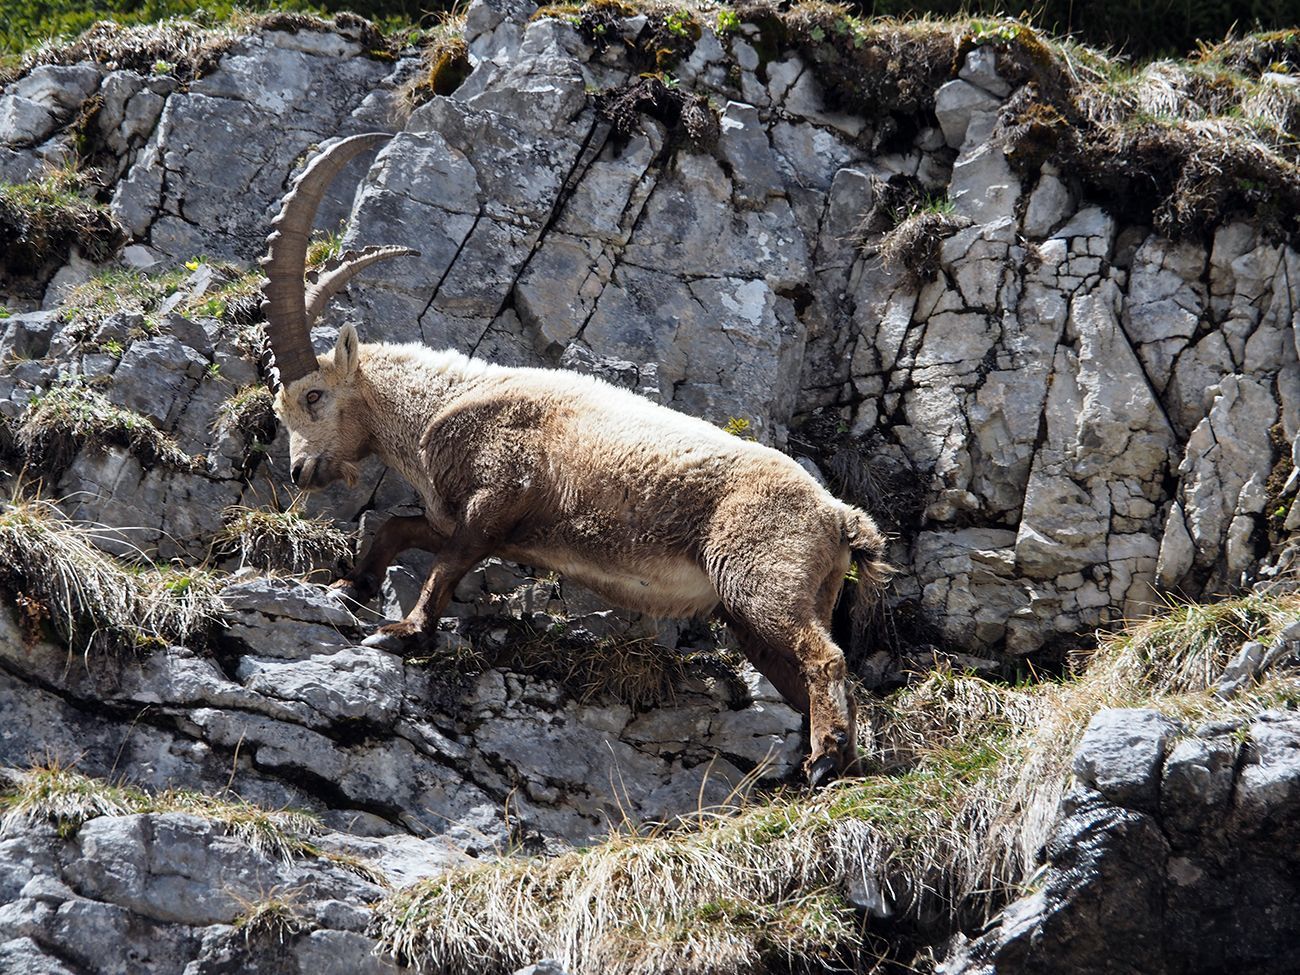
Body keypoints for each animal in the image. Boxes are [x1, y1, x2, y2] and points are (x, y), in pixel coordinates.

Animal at [260, 133, 891, 784]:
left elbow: (447, 562)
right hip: (768, 609)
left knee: (825, 656)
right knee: (801, 671)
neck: (440, 407)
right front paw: (350, 583)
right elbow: (396, 528)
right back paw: (834, 761)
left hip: (760, 581)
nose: (299, 472)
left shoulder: (498, 495)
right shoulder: (473, 520)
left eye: (313, 395)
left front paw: (401, 632)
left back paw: (823, 760)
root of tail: (840, 517)